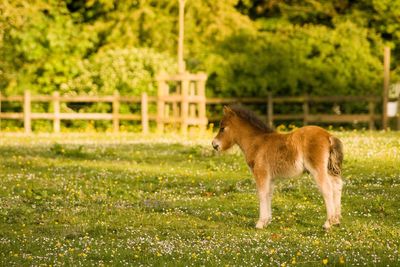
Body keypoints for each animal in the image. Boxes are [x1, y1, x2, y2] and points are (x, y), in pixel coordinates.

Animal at [212, 106, 344, 230]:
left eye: (222, 128)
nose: (214, 145)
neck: (256, 143)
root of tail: (328, 135)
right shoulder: (270, 177)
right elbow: (269, 194)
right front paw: (267, 221)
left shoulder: (261, 173)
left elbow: (262, 194)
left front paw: (260, 223)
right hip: (329, 169)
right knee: (337, 186)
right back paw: (336, 221)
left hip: (317, 169)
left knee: (327, 189)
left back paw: (328, 223)